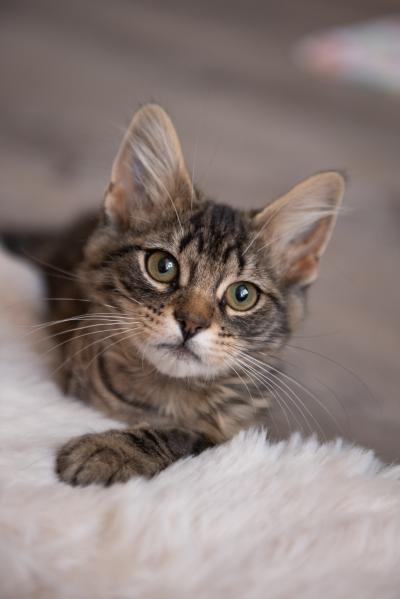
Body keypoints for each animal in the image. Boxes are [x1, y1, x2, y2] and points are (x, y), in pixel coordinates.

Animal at [1, 104, 346, 488]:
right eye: (162, 266)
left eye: (242, 295)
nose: (191, 324)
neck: (167, 392)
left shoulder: (238, 432)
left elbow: (184, 435)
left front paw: (109, 450)